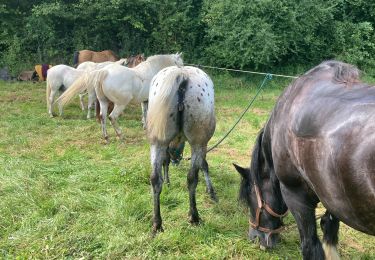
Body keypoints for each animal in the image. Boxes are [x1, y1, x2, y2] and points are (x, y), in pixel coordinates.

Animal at [147, 65, 217, 234]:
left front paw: (167, 181)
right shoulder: (202, 144)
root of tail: (181, 75)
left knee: (154, 179)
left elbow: (165, 162)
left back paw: (157, 223)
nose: (176, 160)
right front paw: (211, 191)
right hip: (198, 142)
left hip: (157, 141)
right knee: (192, 178)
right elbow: (204, 165)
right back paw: (194, 216)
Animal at [235, 60, 375, 258]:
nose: (254, 237)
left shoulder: (296, 197)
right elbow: (329, 227)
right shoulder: (332, 196)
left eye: (249, 197)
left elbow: (310, 246)